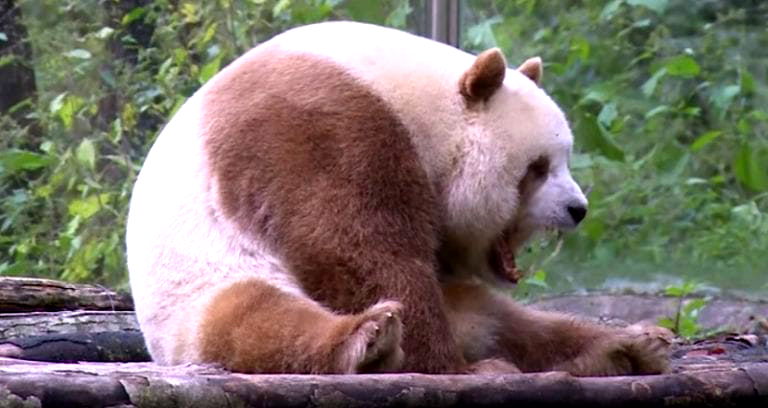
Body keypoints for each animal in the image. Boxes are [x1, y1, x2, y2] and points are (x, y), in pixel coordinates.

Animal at [126, 21, 664, 372]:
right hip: (199, 289)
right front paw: (447, 366)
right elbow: (353, 249)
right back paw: (372, 341)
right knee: (256, 319)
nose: (577, 209)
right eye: (538, 167)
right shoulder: (316, 123)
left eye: (566, 158)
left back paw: (625, 347)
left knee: (512, 323)